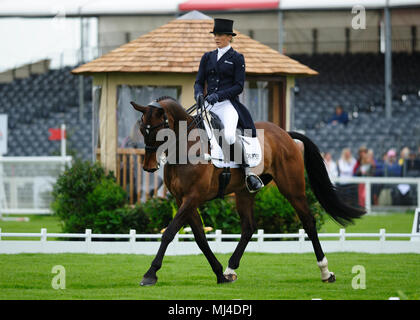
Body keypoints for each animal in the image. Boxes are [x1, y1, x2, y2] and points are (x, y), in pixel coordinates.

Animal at [130, 97, 366, 284]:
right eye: (142, 130)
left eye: (158, 130)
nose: (148, 167)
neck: (185, 146)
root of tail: (284, 133)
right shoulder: (183, 200)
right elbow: (200, 238)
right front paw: (219, 274)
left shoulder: (193, 197)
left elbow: (169, 232)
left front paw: (150, 274)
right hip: (244, 192)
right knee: (249, 227)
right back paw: (230, 269)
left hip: (293, 189)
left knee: (308, 222)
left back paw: (325, 272)